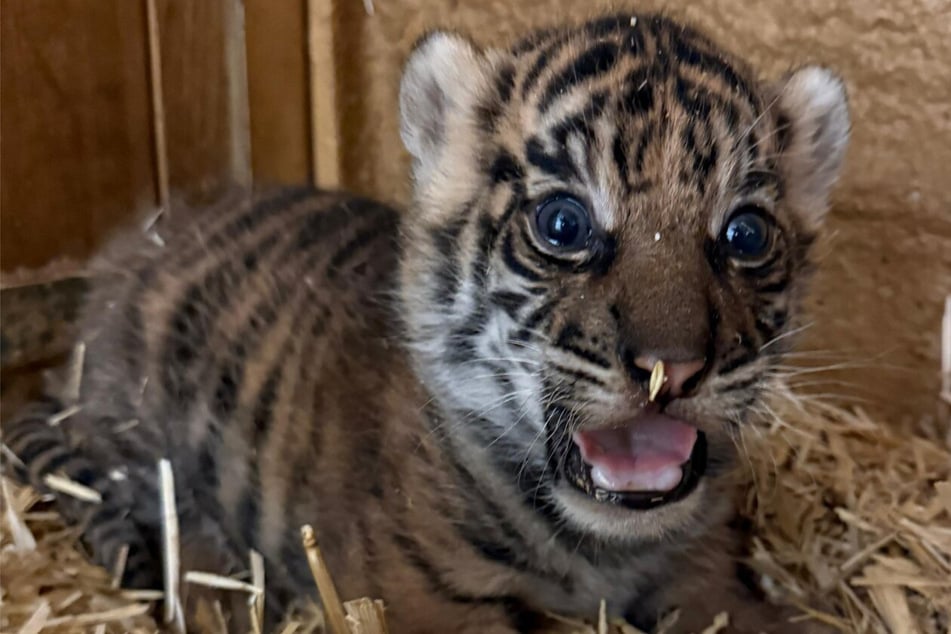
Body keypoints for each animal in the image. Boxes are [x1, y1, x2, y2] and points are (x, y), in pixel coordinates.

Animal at [3, 10, 850, 634]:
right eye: (564, 224)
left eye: (744, 234)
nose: (670, 368)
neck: (599, 548)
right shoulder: (426, 599)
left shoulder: (706, 574)